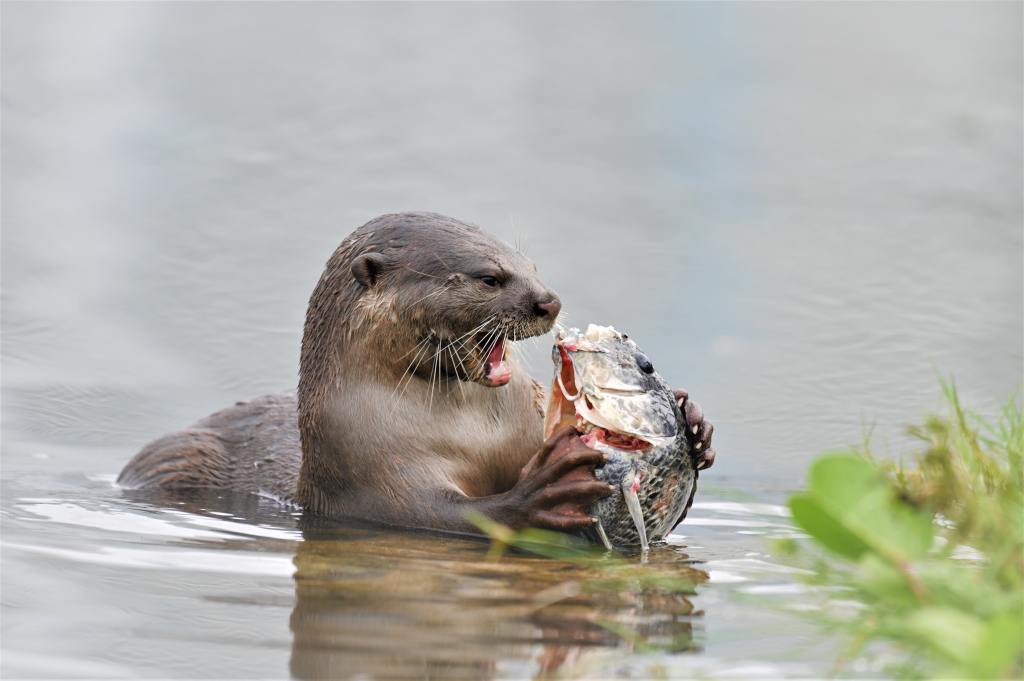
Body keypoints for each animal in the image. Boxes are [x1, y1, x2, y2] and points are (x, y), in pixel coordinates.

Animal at [119, 212, 715, 534]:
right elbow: (436, 513)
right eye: (489, 278)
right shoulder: (364, 469)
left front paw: (694, 423)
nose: (549, 301)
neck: (474, 435)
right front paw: (540, 494)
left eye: (532, 266)